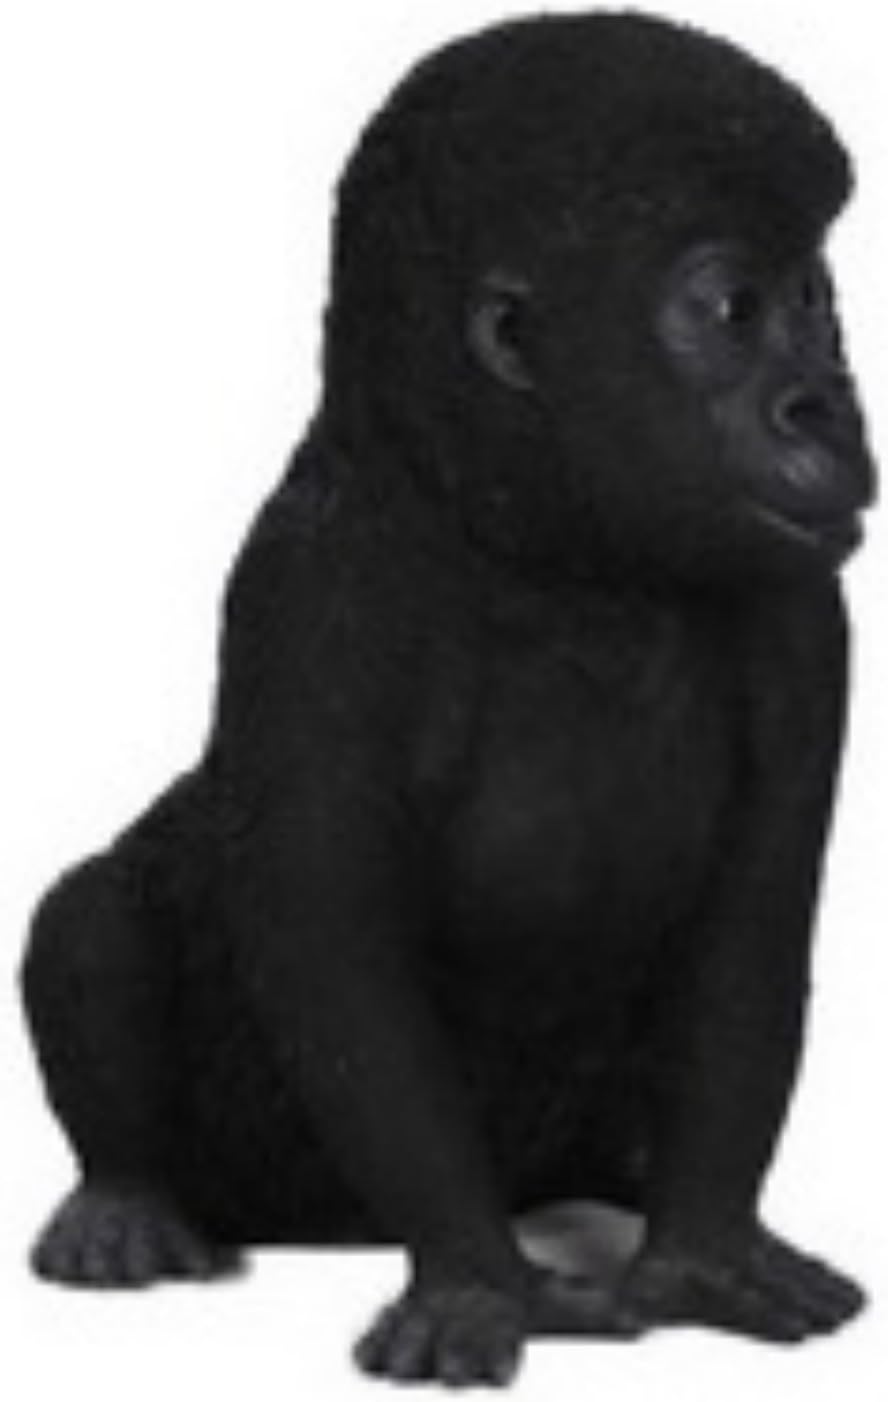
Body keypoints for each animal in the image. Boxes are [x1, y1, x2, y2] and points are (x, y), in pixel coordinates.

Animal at [21, 12, 876, 1389]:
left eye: (813, 302)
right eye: (733, 310)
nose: (827, 403)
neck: (556, 557)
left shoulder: (804, 610)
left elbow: (753, 921)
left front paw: (706, 1250)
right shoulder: (309, 593)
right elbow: (336, 948)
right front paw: (488, 1279)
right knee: (91, 913)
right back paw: (127, 1194)